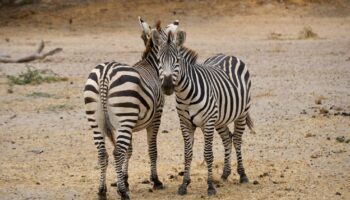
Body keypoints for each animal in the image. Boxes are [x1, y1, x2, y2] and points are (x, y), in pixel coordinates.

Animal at [83, 17, 179, 200]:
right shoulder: (156, 116)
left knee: (103, 153)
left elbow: (130, 150)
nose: (169, 86)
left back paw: (102, 191)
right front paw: (155, 181)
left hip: (97, 120)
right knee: (117, 152)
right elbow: (152, 149)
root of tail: (105, 73)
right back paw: (122, 193)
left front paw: (125, 179)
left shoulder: (129, 125)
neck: (152, 67)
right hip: (124, 117)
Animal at [150, 30, 254, 196]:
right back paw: (225, 173)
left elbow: (208, 154)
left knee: (237, 140)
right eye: (159, 60)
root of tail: (227, 55)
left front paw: (210, 186)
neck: (185, 95)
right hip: (220, 119)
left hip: (241, 113)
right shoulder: (185, 123)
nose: (166, 86)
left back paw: (243, 175)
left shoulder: (208, 122)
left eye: (177, 60)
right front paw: (184, 185)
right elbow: (187, 154)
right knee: (227, 139)